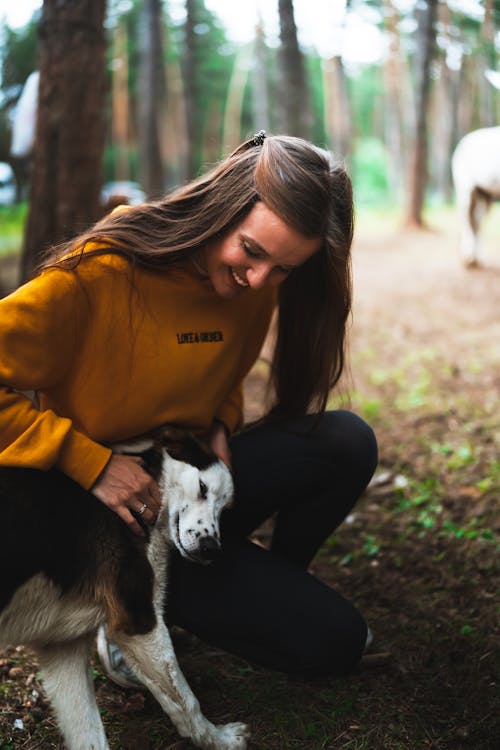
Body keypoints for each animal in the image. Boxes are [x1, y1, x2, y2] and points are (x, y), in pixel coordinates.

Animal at [0, 428, 249, 750]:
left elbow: (89, 734)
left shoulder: (61, 647)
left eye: (224, 509)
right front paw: (220, 739)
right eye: (203, 488)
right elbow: (185, 700)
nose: (211, 549)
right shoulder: (138, 622)